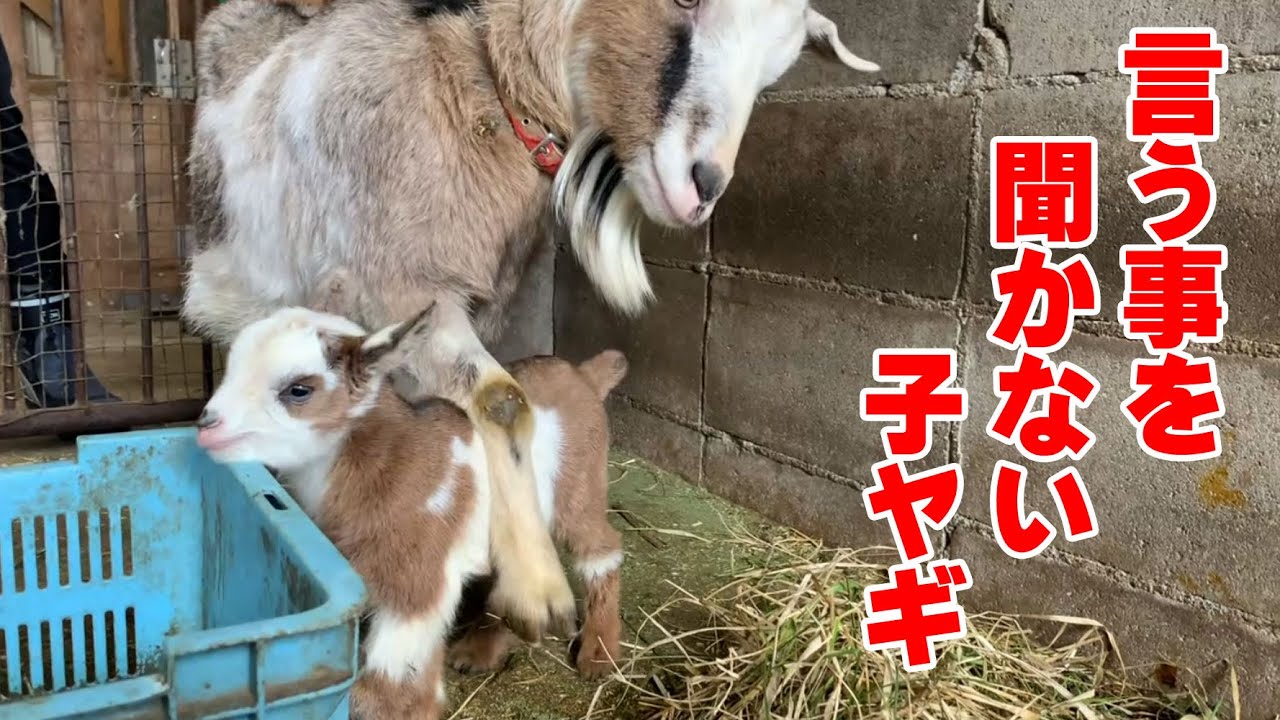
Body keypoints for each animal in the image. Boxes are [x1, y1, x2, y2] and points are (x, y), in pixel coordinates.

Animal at [183, 0, 878, 643]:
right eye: (683, 3)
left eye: (773, 71)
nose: (702, 188)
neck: (485, 92)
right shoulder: (397, 287)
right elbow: (498, 398)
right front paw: (538, 588)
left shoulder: (483, 302)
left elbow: (493, 403)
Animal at [195, 303, 629, 717]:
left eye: (298, 390)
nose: (206, 426)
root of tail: (582, 375)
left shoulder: (418, 577)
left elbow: (388, 689)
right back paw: (479, 651)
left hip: (580, 485)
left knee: (601, 548)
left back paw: (598, 654)